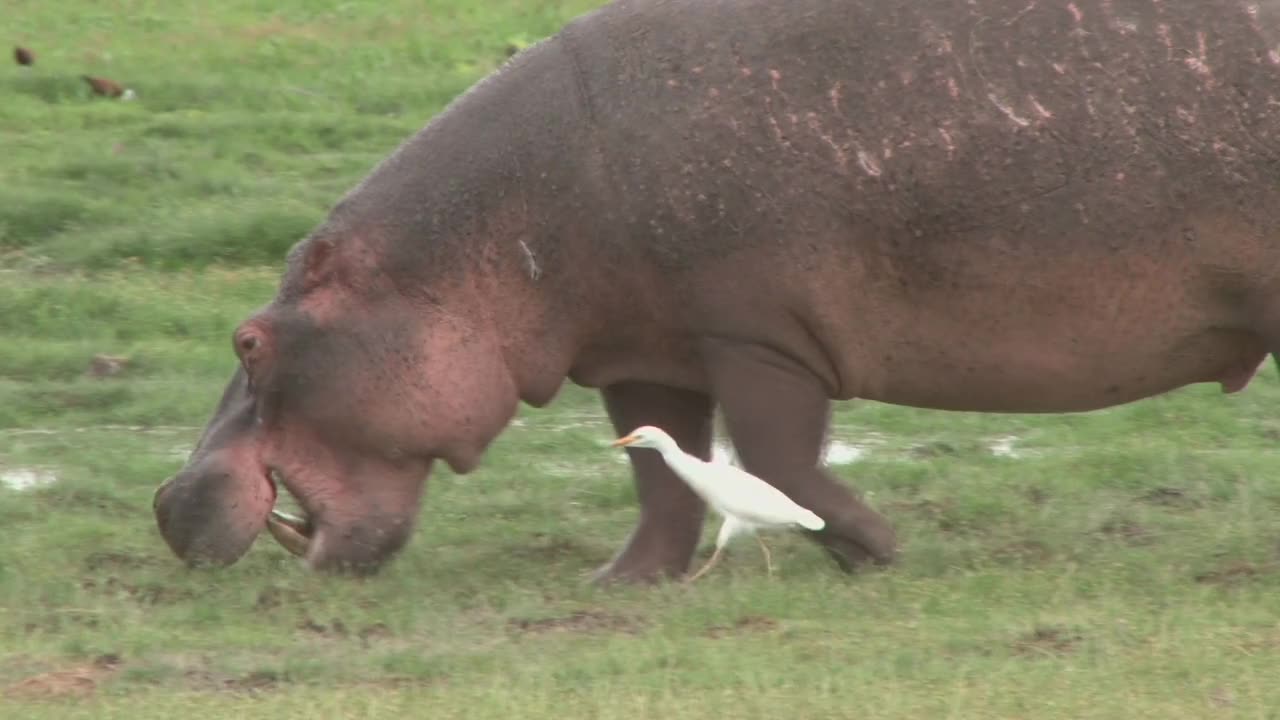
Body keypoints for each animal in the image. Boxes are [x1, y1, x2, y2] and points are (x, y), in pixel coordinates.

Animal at [154, 0, 1280, 579]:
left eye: (249, 340)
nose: (165, 501)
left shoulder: (754, 335)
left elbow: (776, 458)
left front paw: (871, 550)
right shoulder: (643, 349)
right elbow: (661, 477)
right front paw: (620, 583)